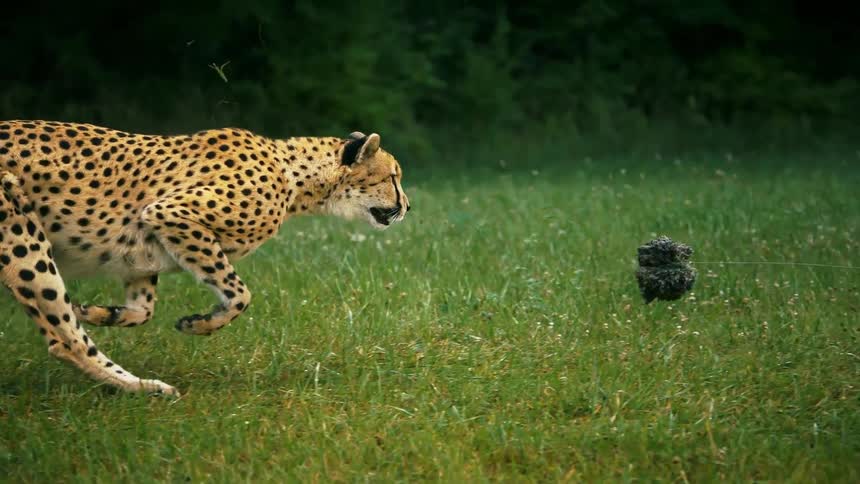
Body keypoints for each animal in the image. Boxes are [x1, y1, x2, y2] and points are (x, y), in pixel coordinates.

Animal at [0, 120, 409, 396]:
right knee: (66, 341)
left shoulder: (143, 254)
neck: (293, 177)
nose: (407, 206)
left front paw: (96, 312)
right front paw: (200, 324)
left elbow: (141, 310)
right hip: (24, 243)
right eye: (393, 177)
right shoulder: (170, 213)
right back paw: (145, 387)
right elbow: (241, 295)